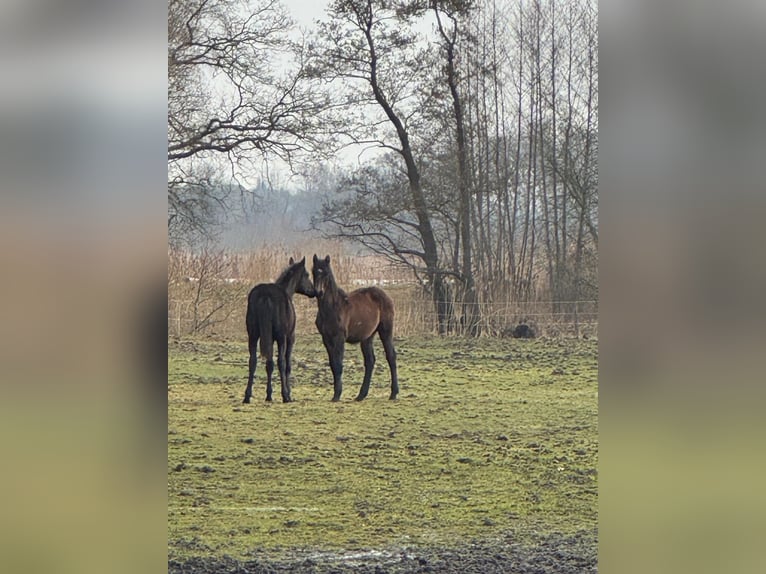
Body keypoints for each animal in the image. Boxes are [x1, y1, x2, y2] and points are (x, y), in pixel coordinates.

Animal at [243, 257, 315, 404]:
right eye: (306, 274)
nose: (315, 291)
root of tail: (265, 295)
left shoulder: (268, 338)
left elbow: (269, 364)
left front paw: (269, 394)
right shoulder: (290, 338)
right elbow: (286, 364)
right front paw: (288, 393)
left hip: (253, 335)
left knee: (253, 361)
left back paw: (247, 396)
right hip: (281, 338)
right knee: (280, 362)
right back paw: (285, 395)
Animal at [311, 254, 399, 402]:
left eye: (326, 273)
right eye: (313, 272)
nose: (319, 292)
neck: (332, 308)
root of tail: (386, 295)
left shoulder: (339, 338)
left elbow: (338, 364)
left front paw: (337, 395)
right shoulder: (326, 339)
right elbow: (332, 364)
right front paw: (335, 394)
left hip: (385, 330)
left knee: (391, 356)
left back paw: (393, 393)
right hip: (367, 336)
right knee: (370, 361)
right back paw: (361, 395)